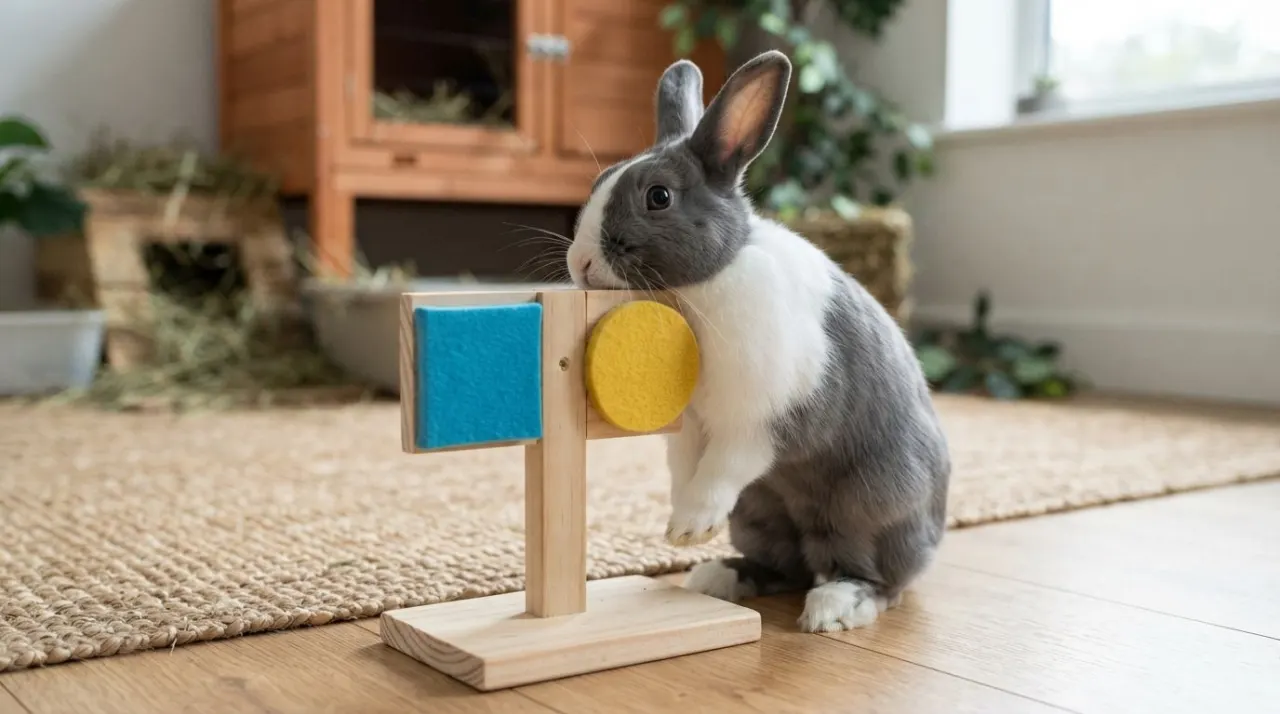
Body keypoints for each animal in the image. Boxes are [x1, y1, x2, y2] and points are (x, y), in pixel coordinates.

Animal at [565, 50, 951, 632]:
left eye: (659, 197)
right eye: (599, 183)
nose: (581, 263)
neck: (705, 282)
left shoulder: (758, 422)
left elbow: (722, 468)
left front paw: (689, 527)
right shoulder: (688, 427)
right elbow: (684, 470)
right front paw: (682, 528)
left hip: (870, 507)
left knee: (877, 579)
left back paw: (833, 607)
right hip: (760, 513)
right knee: (785, 565)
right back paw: (720, 576)